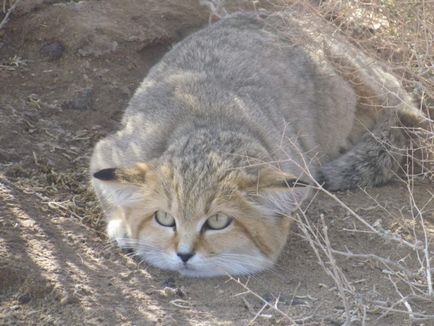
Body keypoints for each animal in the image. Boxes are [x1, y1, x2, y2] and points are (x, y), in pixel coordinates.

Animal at [89, 8, 424, 276]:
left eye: (218, 221)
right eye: (164, 218)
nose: (183, 254)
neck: (211, 127)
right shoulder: (111, 149)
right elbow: (106, 188)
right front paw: (122, 223)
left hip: (365, 81)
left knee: (406, 116)